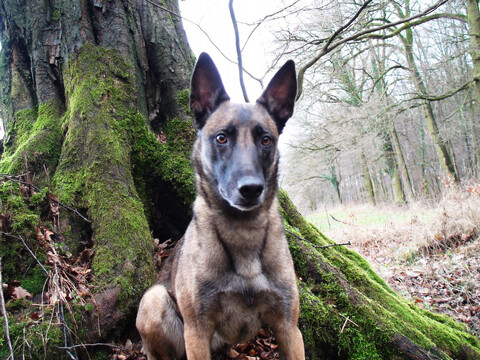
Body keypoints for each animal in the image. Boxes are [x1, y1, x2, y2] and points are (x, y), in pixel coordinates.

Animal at [137, 51, 306, 360]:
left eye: (266, 140)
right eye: (221, 138)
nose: (251, 189)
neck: (243, 231)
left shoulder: (289, 328)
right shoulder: (197, 331)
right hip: (155, 301)